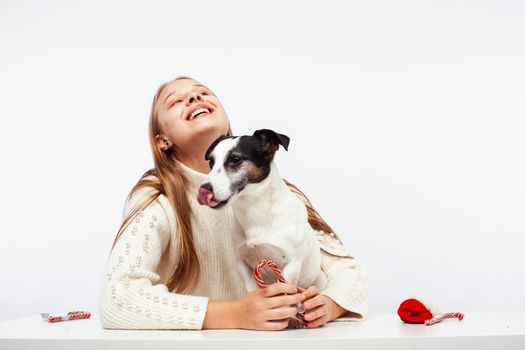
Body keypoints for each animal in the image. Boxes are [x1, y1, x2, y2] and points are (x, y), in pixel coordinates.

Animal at [196, 129, 328, 308]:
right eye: (211, 161)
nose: (203, 189)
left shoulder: (292, 263)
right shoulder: (241, 262)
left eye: (236, 159)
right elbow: (252, 289)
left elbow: (284, 290)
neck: (256, 210)